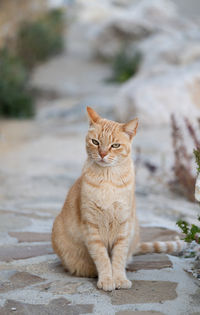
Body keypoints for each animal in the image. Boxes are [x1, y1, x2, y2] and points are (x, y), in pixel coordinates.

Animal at [52, 107, 186, 292]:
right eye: (95, 142)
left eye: (115, 145)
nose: (102, 154)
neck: (108, 179)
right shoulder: (92, 227)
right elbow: (102, 258)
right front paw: (107, 280)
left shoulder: (124, 226)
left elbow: (118, 258)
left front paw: (120, 279)